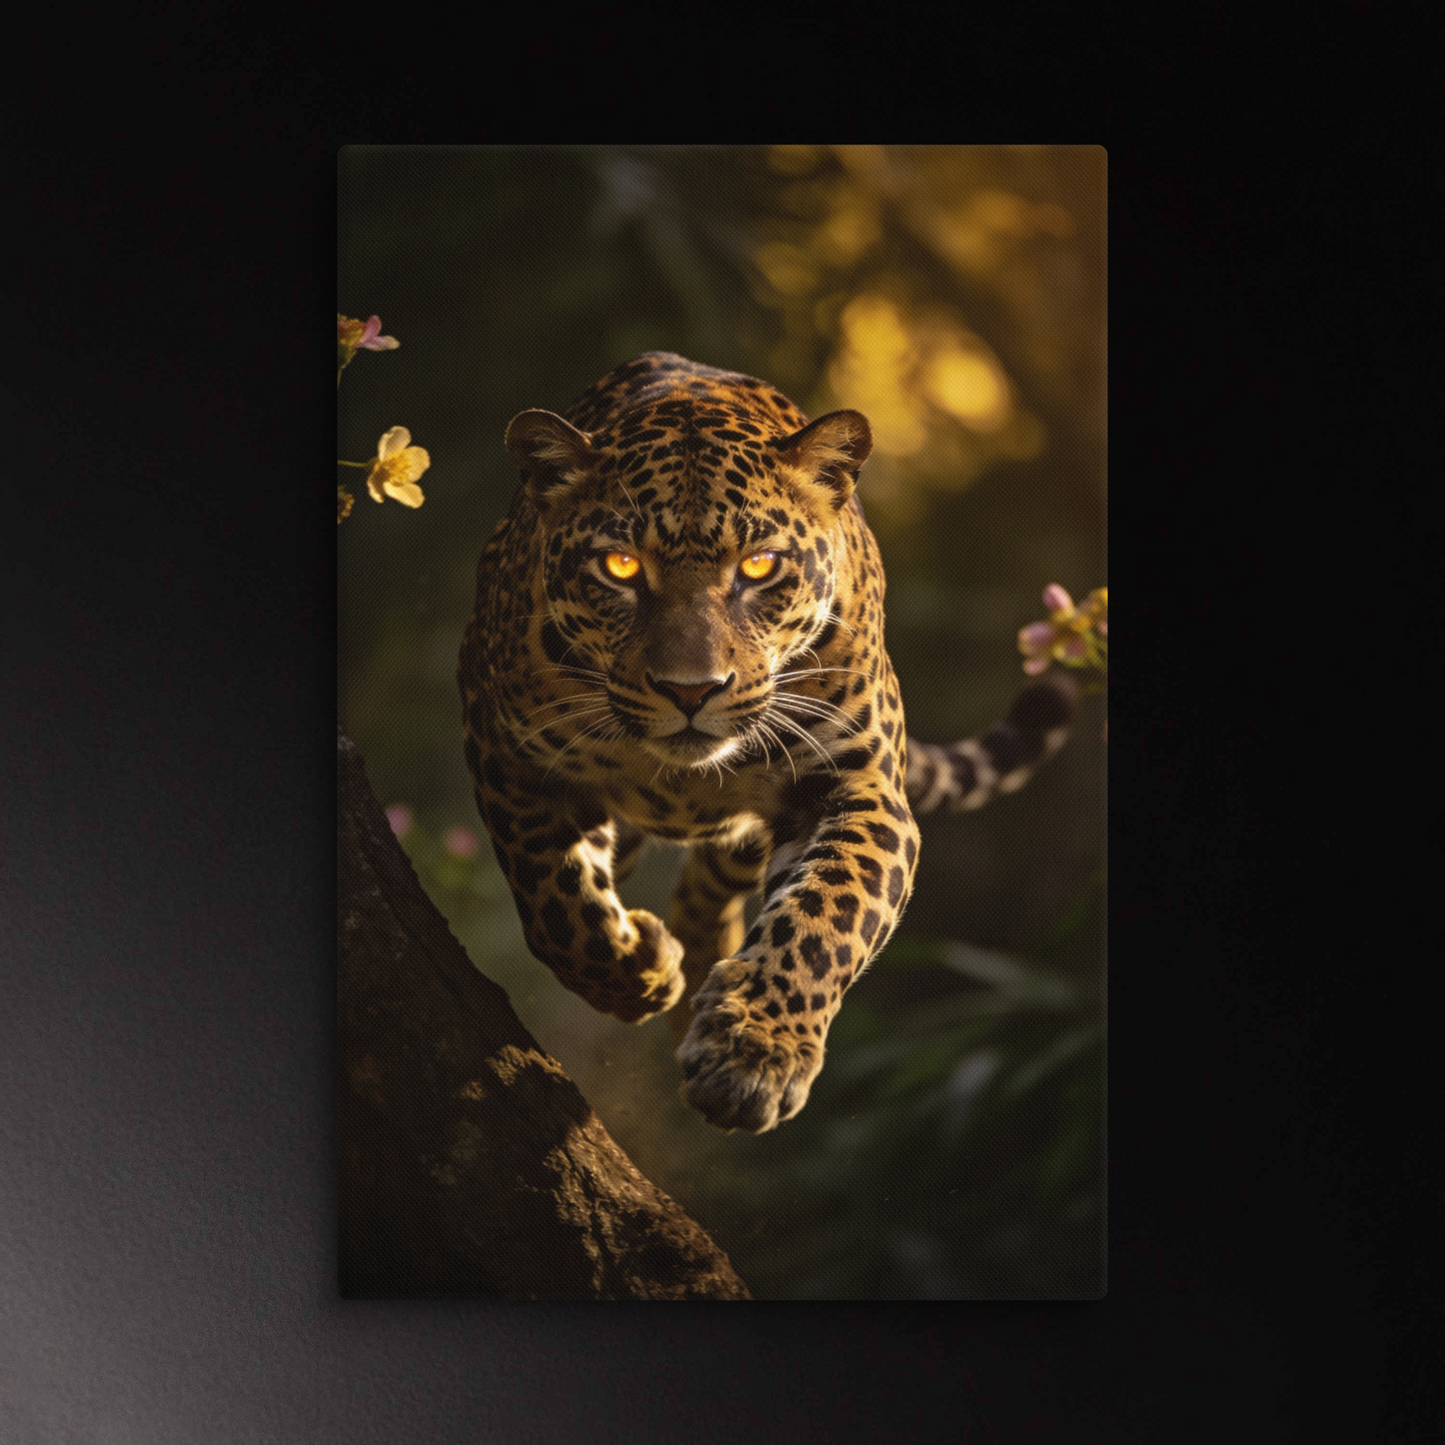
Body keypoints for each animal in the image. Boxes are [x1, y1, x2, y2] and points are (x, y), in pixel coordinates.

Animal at [458, 353, 1078, 1133]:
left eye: (758, 566)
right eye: (620, 567)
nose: (691, 690)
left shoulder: (857, 786)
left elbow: (828, 916)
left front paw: (753, 1055)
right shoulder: (506, 750)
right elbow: (554, 899)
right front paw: (637, 970)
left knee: (712, 875)